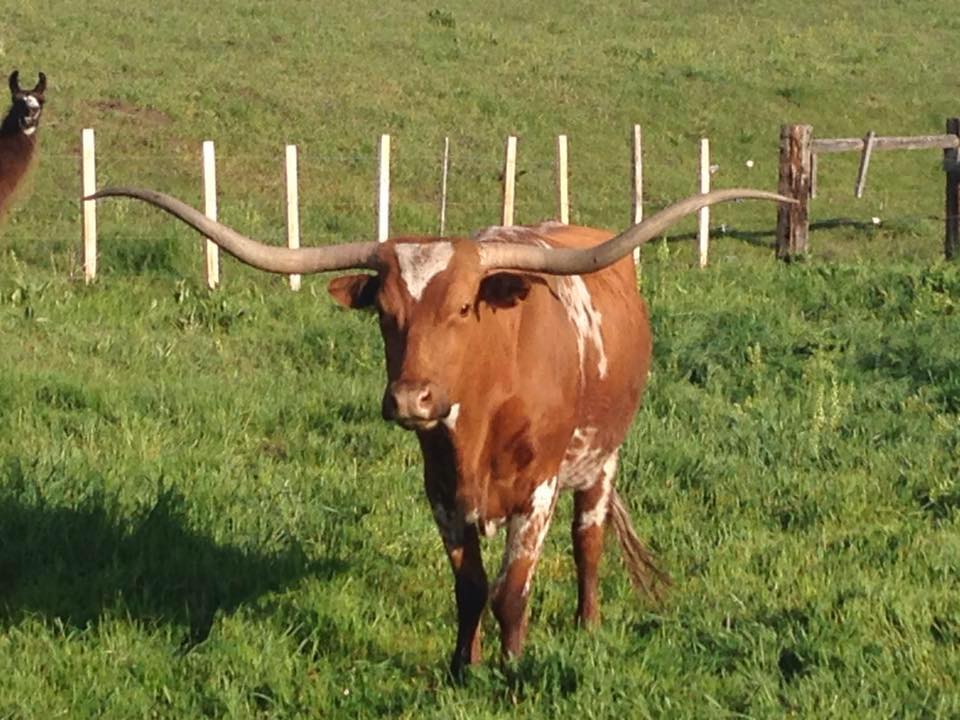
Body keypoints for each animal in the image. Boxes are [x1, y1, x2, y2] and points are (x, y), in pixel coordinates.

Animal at [89, 186, 789, 676]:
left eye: (463, 307)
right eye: (384, 312)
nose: (410, 398)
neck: (477, 419)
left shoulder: (535, 492)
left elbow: (512, 593)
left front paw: (511, 670)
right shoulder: (442, 495)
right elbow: (471, 589)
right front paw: (462, 666)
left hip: (603, 458)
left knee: (588, 541)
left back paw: (588, 623)